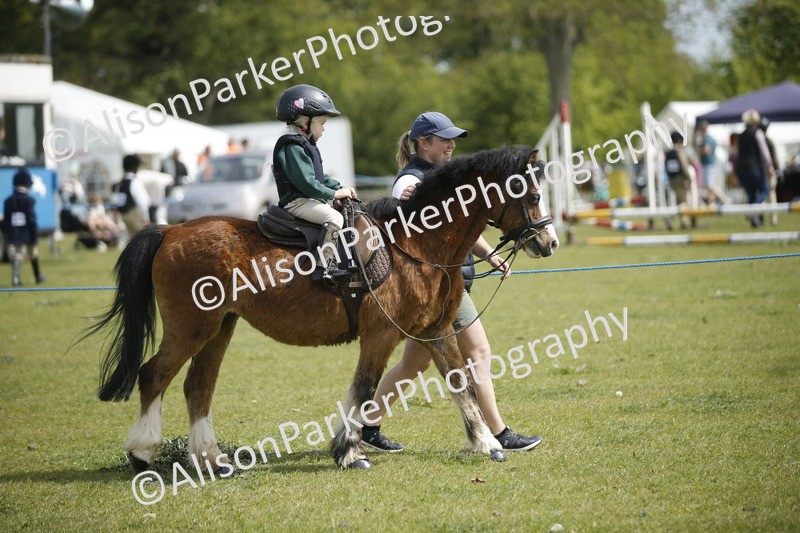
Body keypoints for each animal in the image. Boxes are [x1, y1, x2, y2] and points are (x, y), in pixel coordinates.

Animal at [82, 144, 559, 472]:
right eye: (531, 194)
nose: (550, 242)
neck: (416, 245)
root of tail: (170, 230)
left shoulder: (436, 332)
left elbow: (462, 386)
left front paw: (487, 443)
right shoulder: (381, 334)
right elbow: (364, 389)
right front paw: (349, 453)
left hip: (220, 328)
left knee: (197, 387)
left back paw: (212, 459)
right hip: (190, 328)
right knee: (153, 376)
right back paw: (142, 453)